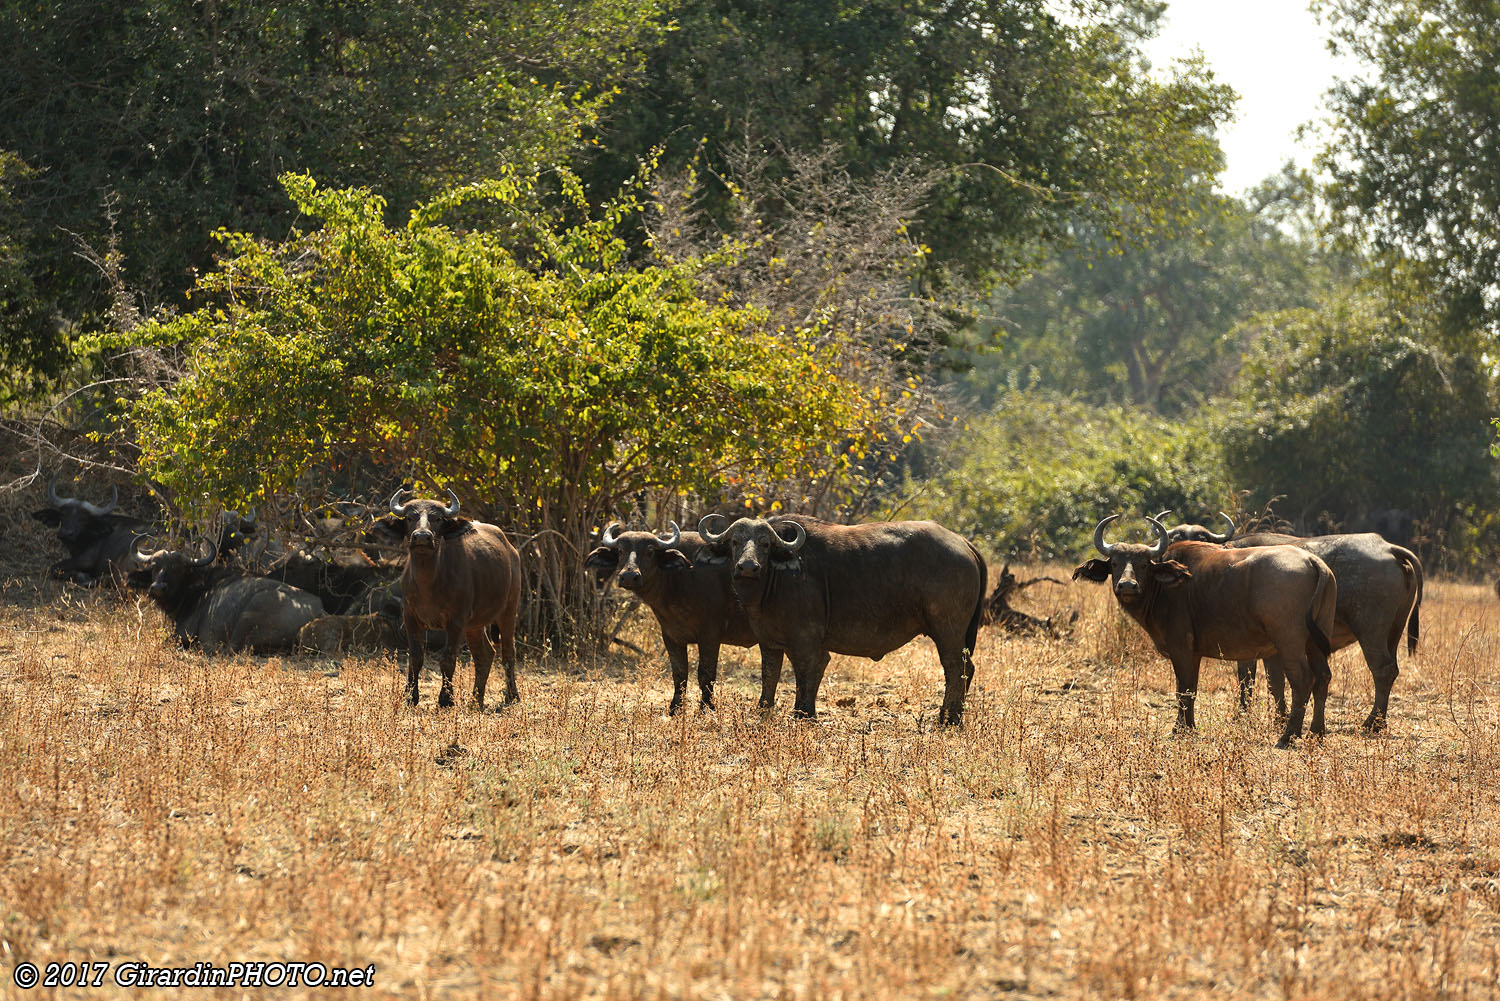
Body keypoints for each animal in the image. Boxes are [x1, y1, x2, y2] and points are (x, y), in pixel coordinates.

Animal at [381, 489, 522, 708]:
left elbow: (448, 659)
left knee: (508, 651)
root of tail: (511, 550)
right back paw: (476, 700)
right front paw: (410, 697)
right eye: (410, 517)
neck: (429, 583)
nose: (422, 537)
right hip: (475, 625)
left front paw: (446, 699)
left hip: (509, 610)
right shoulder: (410, 617)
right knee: (485, 654)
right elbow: (416, 657)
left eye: (437, 518)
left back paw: (511, 696)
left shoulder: (456, 621)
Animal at [585, 522, 774, 717]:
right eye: (621, 551)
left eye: (650, 551)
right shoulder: (671, 636)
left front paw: (706, 708)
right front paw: (675, 707)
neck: (679, 579)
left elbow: (705, 674)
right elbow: (679, 672)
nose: (629, 576)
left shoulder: (710, 636)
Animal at [1068, 522, 1338, 747]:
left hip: (1289, 642)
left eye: (1144, 564)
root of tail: (1313, 561)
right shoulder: (1193, 653)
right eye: (1114, 563)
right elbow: (1189, 689)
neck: (1166, 587)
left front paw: (1180, 729)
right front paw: (1187, 726)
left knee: (1303, 679)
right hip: (1315, 643)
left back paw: (1288, 736)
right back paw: (1316, 732)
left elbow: (1184, 689)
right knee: (1323, 677)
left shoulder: (1181, 648)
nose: (1127, 586)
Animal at [1164, 513, 1422, 732]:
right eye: (1175, 539)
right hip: (1394, 630)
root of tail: (1387, 547)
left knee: (1382, 669)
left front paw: (1244, 716)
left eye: (1200, 539)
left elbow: (1249, 679)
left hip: (1370, 631)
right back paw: (1379, 721)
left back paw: (1371, 723)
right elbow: (1272, 682)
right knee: (1392, 669)